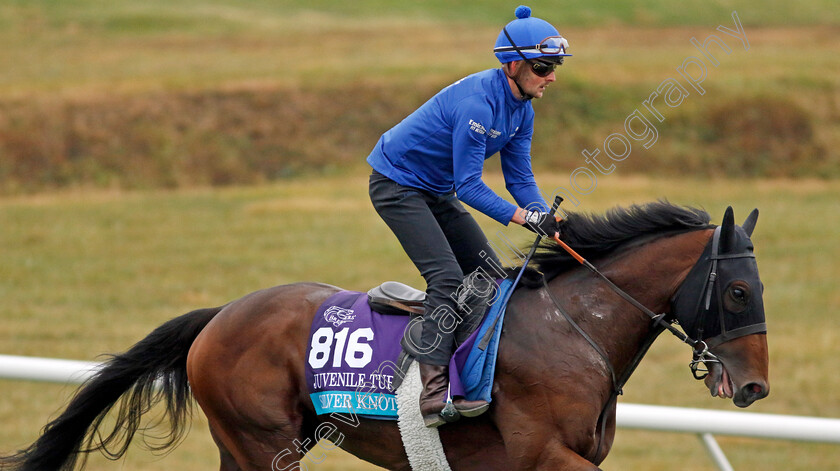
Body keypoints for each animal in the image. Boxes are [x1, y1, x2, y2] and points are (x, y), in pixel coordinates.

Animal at [0, 201, 772, 470]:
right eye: (739, 292)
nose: (756, 387)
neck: (573, 329)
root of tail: (218, 316)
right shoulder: (543, 455)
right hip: (264, 444)